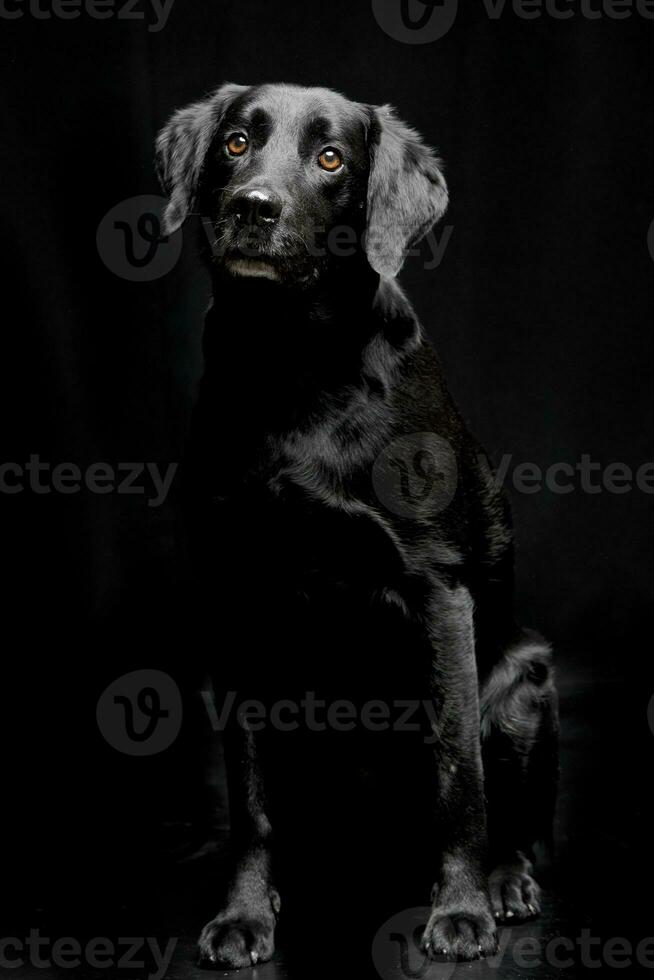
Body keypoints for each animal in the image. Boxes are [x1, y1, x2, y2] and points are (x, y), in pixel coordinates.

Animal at [156, 82, 560, 964]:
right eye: (236, 142)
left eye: (332, 158)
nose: (254, 207)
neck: (290, 363)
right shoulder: (237, 598)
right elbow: (251, 798)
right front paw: (243, 914)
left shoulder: (438, 591)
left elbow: (457, 775)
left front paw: (460, 911)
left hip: (524, 686)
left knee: (512, 817)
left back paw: (506, 883)